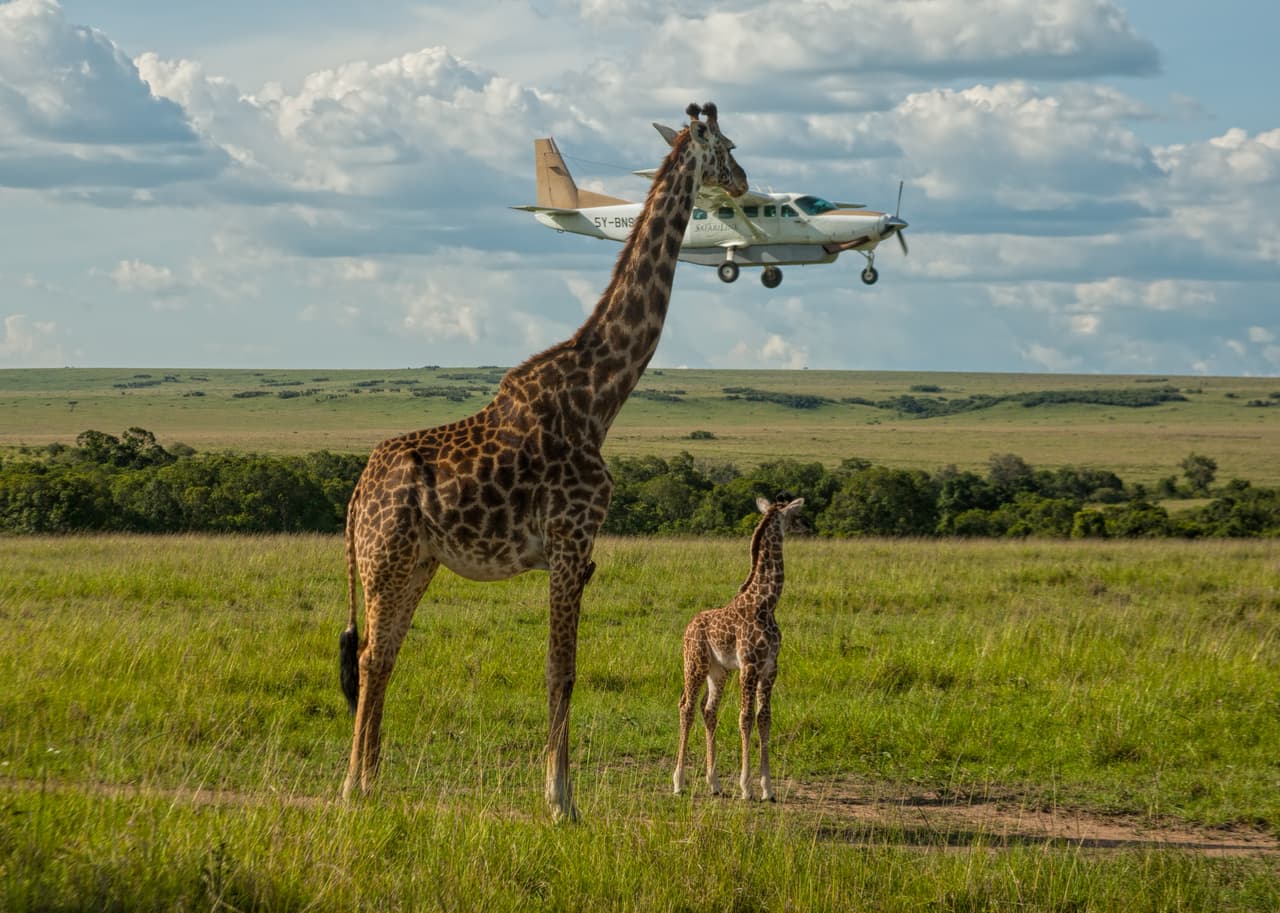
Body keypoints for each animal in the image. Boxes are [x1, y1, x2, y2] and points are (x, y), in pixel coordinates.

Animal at [339, 102, 747, 820]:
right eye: (724, 145)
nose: (746, 182)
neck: (600, 396)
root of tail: (358, 494)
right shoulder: (569, 538)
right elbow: (563, 669)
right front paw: (562, 801)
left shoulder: (578, 550)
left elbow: (562, 668)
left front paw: (558, 793)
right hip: (383, 558)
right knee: (368, 657)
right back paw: (354, 786)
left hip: (415, 562)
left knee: (381, 655)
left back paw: (371, 781)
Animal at [673, 494, 805, 801]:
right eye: (795, 514)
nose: (808, 526)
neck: (766, 604)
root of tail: (688, 627)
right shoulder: (749, 665)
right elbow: (745, 717)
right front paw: (747, 787)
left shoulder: (770, 668)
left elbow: (764, 718)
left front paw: (768, 788)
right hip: (694, 663)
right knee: (686, 706)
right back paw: (679, 782)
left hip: (718, 671)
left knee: (709, 710)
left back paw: (714, 784)